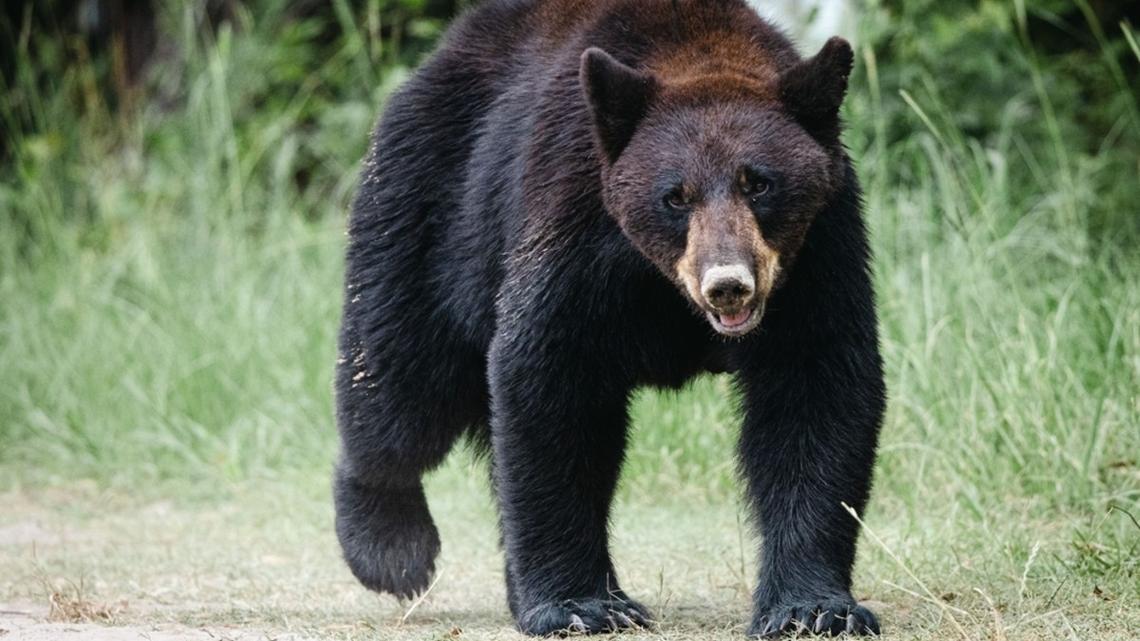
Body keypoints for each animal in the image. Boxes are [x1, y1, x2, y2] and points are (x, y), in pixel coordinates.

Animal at [333, 0, 885, 637]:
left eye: (759, 183)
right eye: (676, 195)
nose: (727, 285)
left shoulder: (820, 253)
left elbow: (817, 390)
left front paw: (814, 608)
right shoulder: (574, 225)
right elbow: (551, 382)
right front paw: (581, 605)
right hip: (429, 210)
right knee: (401, 385)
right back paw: (390, 548)